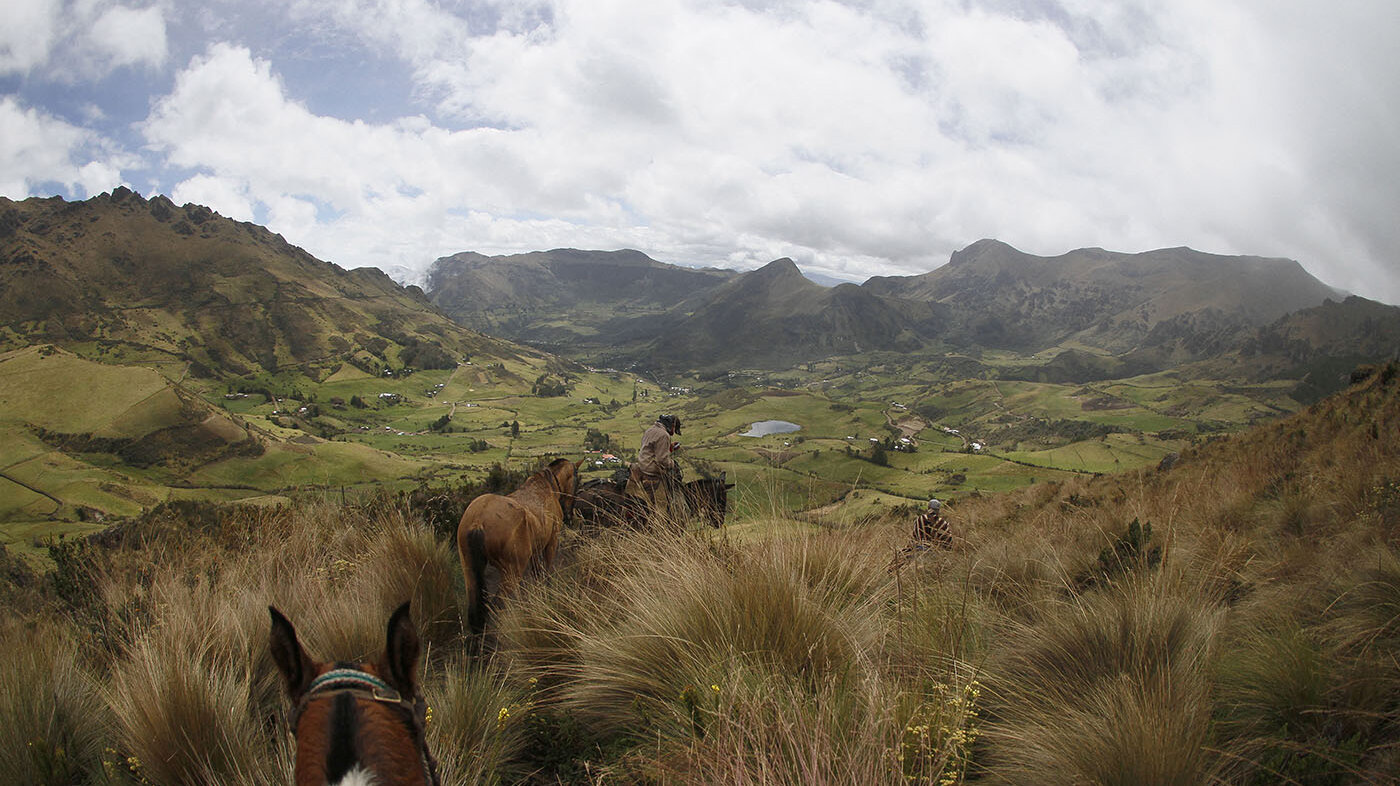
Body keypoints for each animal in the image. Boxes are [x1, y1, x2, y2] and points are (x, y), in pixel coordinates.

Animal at [456, 459, 582, 630]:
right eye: (576, 480)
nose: (569, 515)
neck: (546, 488)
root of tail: (478, 521)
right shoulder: (551, 543)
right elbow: (547, 571)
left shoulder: (535, 551)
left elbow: (537, 574)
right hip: (511, 573)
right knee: (495, 606)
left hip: (470, 572)